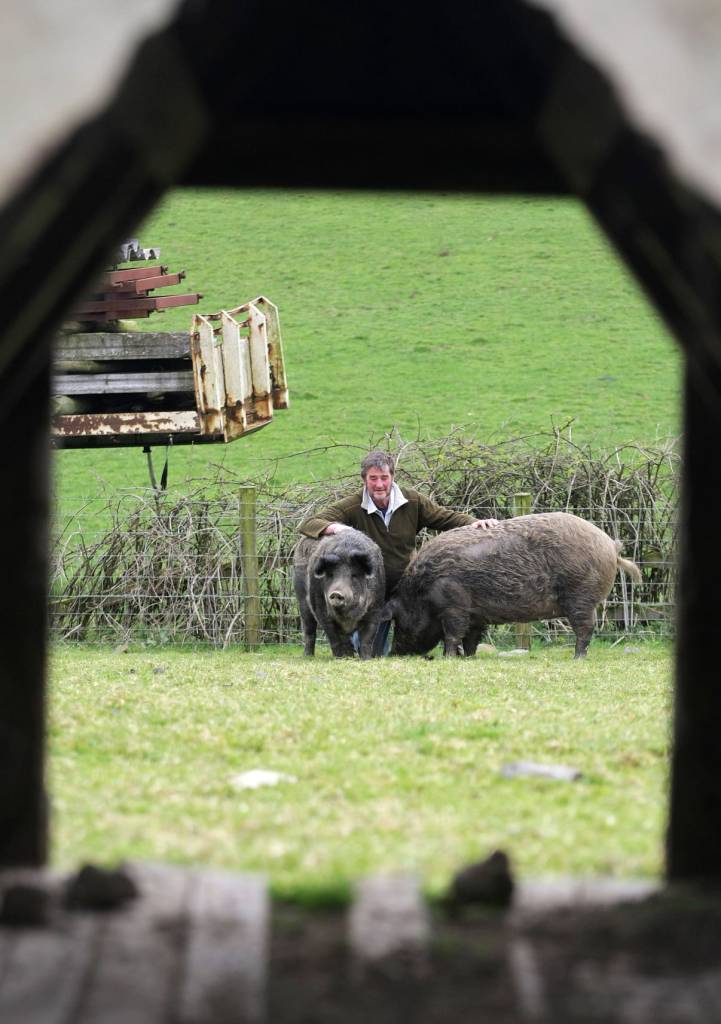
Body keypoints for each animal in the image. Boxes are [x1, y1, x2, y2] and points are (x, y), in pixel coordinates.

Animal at [293, 528, 386, 658]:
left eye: (354, 575)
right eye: (331, 575)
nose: (336, 593)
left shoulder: (375, 608)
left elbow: (367, 638)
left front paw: (366, 658)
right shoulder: (320, 609)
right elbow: (334, 637)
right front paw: (342, 657)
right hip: (301, 598)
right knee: (309, 630)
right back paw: (307, 656)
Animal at [382, 512, 642, 658]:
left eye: (399, 621)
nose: (395, 652)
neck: (421, 592)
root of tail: (610, 545)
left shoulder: (453, 606)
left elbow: (453, 635)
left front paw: (448, 657)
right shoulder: (475, 614)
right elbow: (471, 639)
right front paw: (468, 658)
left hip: (581, 595)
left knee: (586, 629)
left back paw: (577, 658)